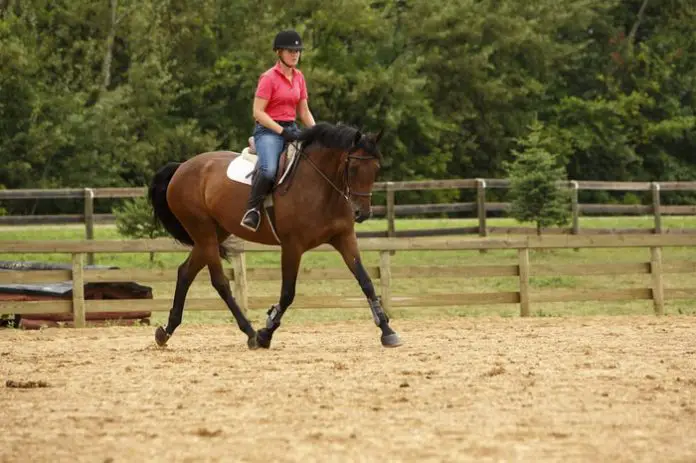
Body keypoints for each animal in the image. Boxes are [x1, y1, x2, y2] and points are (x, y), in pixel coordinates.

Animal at [148, 122, 402, 349]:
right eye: (353, 168)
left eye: (376, 169)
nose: (362, 212)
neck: (321, 186)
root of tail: (182, 167)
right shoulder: (292, 246)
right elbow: (288, 293)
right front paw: (265, 332)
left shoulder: (344, 238)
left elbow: (366, 282)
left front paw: (387, 331)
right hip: (204, 231)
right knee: (220, 282)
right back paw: (250, 333)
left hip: (212, 234)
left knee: (185, 273)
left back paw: (166, 332)